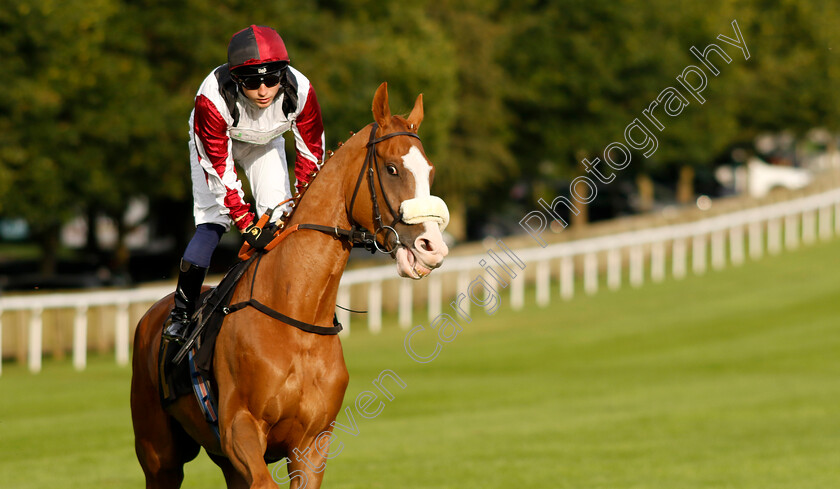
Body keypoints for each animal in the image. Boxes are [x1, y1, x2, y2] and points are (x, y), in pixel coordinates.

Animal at [130, 82, 450, 486]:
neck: (296, 315)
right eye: (392, 169)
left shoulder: (312, 444)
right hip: (159, 455)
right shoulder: (240, 430)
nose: (432, 247)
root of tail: (151, 315)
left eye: (430, 171)